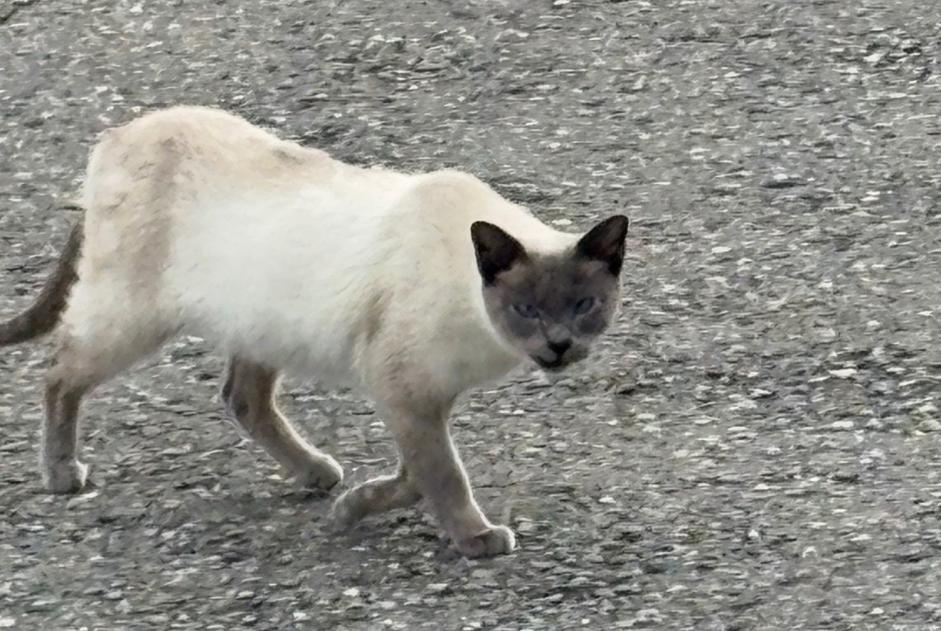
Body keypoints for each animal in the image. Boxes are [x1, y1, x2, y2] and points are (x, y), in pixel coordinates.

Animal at [1, 107, 632, 556]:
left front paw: (353, 508)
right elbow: (441, 475)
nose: (559, 345)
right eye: (526, 309)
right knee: (58, 375)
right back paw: (62, 474)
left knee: (242, 399)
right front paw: (477, 539)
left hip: (261, 320)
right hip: (133, 318)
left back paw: (317, 474)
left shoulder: (422, 399)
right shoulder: (402, 389)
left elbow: (416, 475)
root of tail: (119, 131)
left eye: (584, 305)